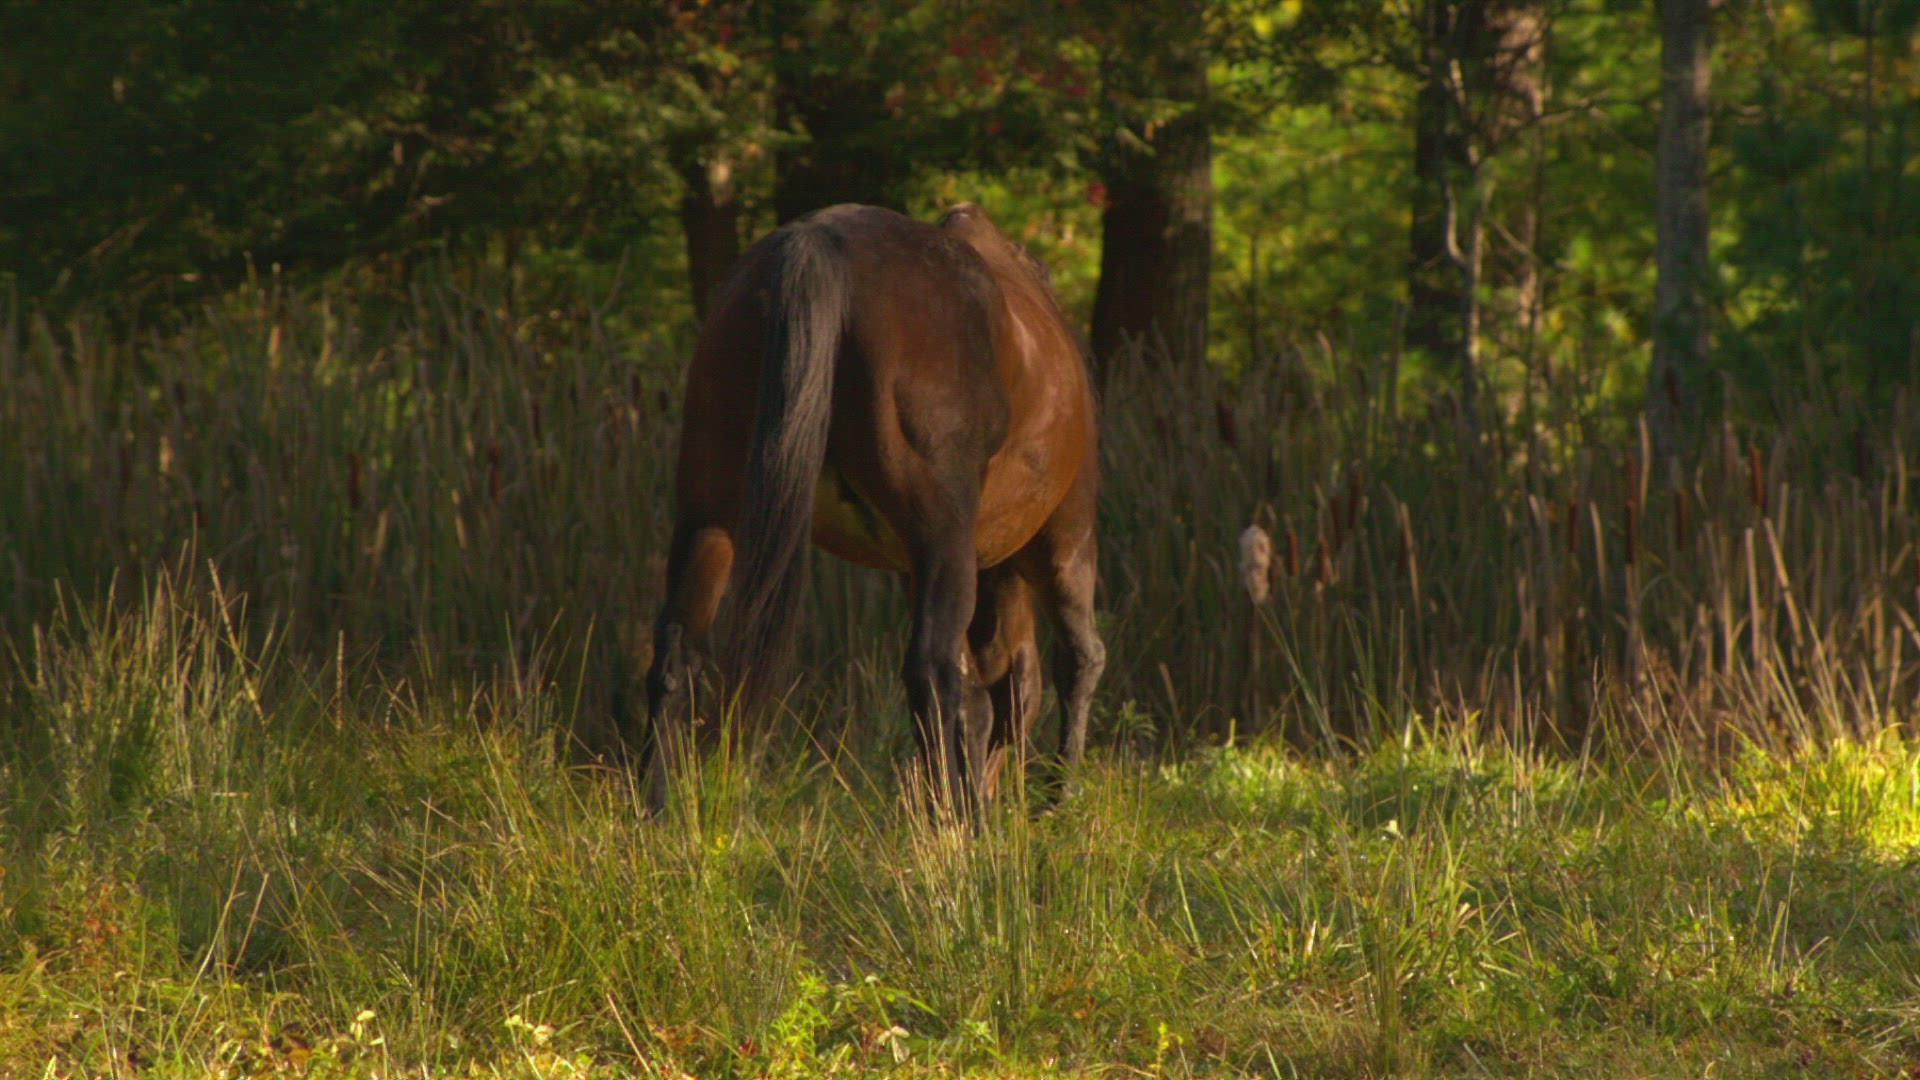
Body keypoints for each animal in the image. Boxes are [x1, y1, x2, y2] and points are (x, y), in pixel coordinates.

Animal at [640, 202, 1105, 815]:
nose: (990, 793)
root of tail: (820, 244)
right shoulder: (1059, 540)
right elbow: (1072, 661)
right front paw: (1055, 801)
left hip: (710, 514)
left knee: (676, 652)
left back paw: (653, 811)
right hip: (960, 538)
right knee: (935, 670)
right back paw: (962, 820)